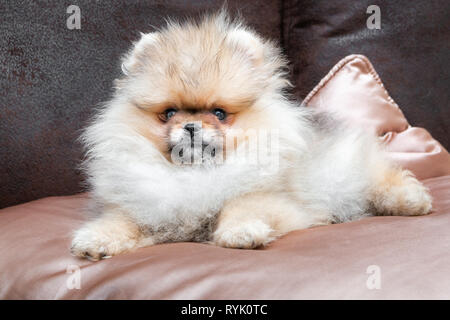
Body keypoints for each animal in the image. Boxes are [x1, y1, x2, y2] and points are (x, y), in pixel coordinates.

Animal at [71, 11, 432, 260]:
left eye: (219, 113)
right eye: (170, 113)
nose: (191, 126)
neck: (195, 175)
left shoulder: (271, 199)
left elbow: (241, 207)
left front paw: (240, 232)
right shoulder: (141, 206)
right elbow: (119, 219)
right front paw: (96, 240)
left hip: (351, 167)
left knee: (383, 179)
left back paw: (410, 200)